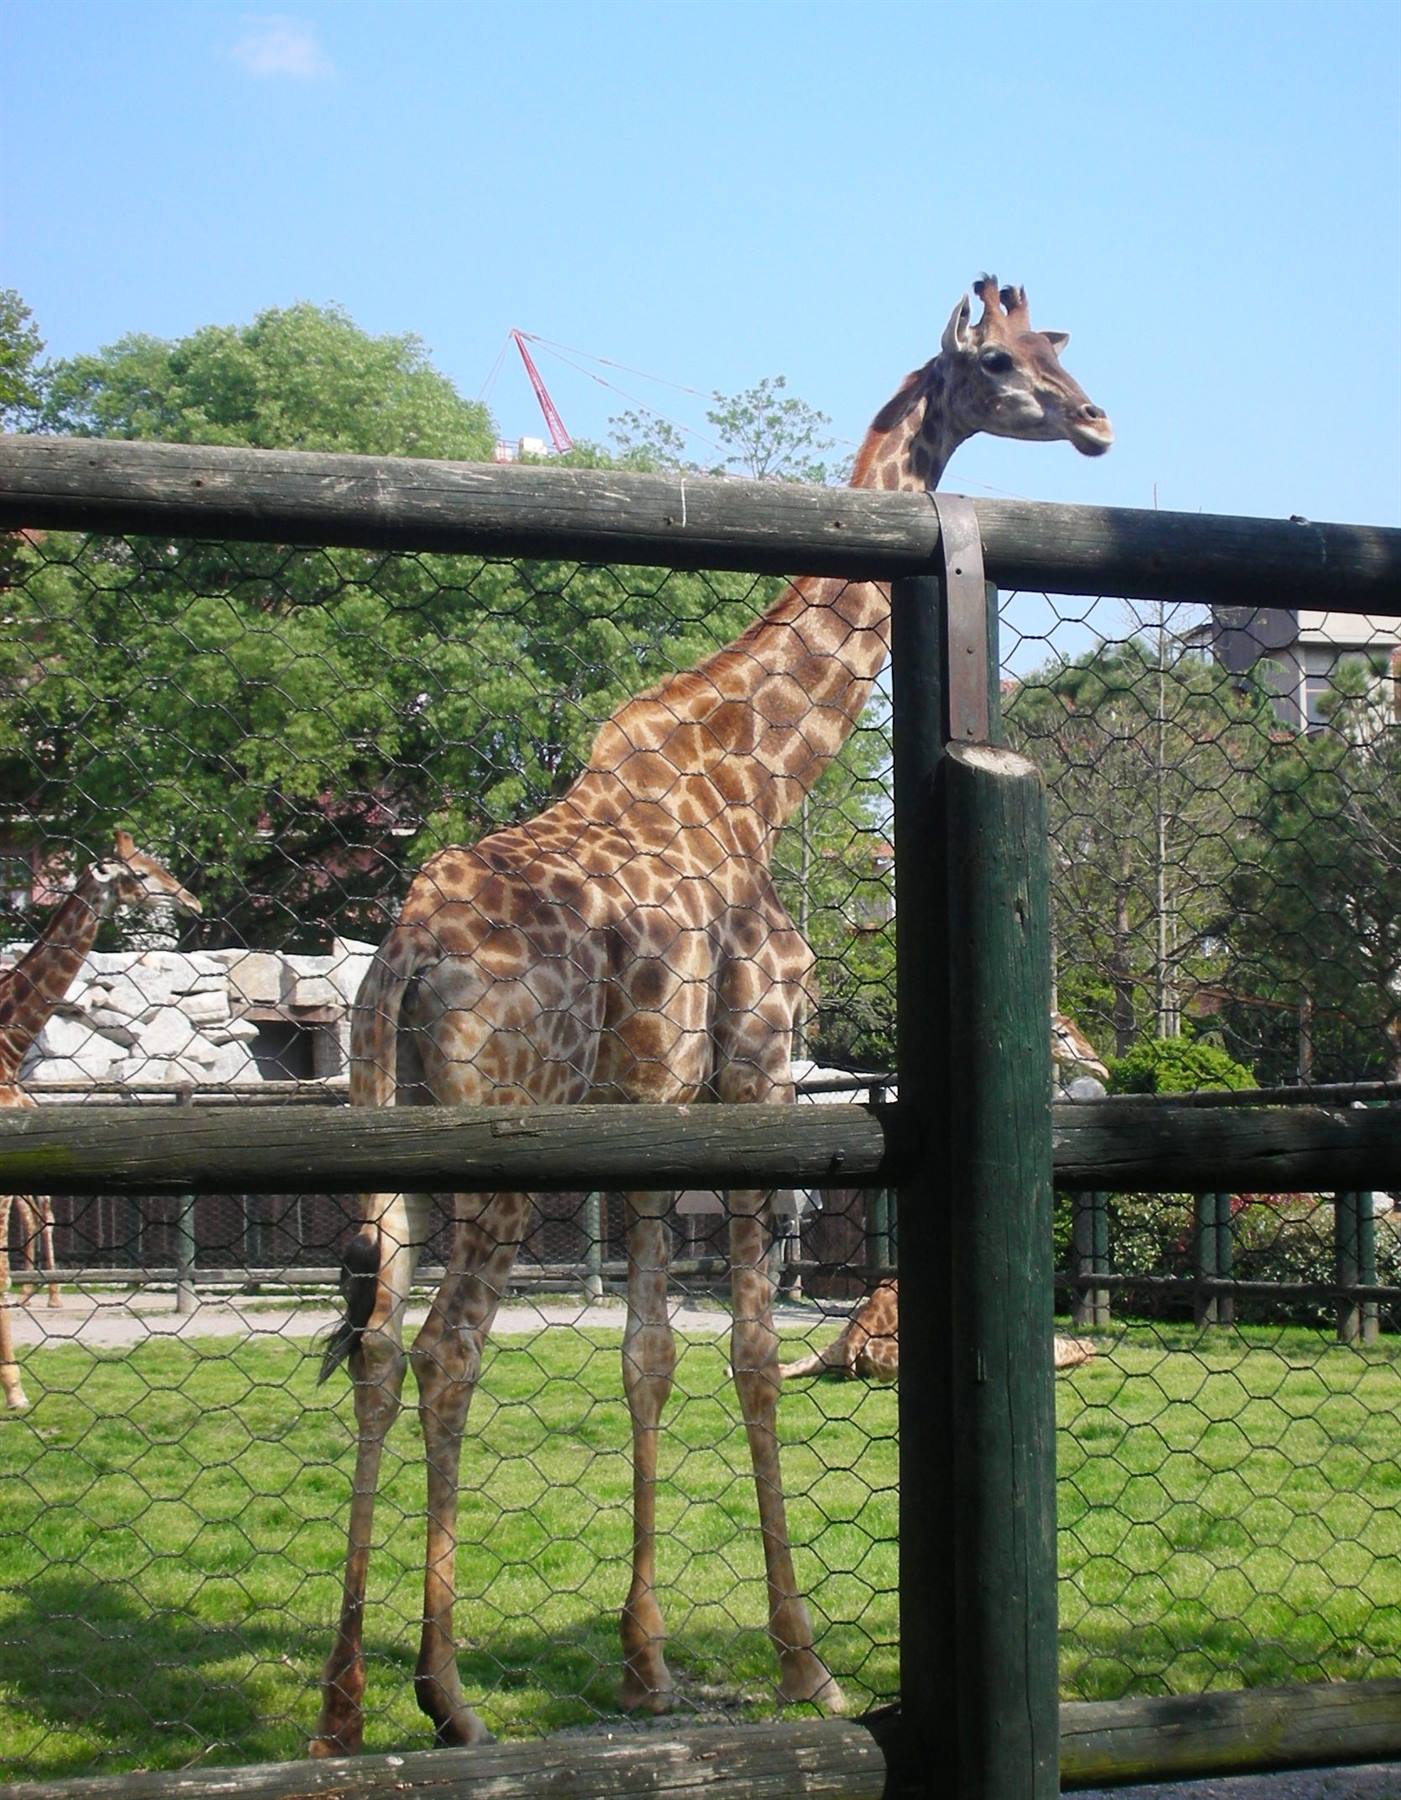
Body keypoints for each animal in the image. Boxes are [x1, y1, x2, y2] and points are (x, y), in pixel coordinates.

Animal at [312, 276, 1112, 1755]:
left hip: (381, 1118)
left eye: (1055, 349)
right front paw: (805, 1665)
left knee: (384, 1348)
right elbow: (745, 1351)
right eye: (997, 363)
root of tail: (402, 957)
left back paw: (343, 1703)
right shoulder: (755, 1071)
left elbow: (645, 1360)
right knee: (452, 1350)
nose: (1096, 421)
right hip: (499, 1135)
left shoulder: (653, 1107)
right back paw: (445, 1696)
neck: (761, 781)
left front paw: (647, 1665)